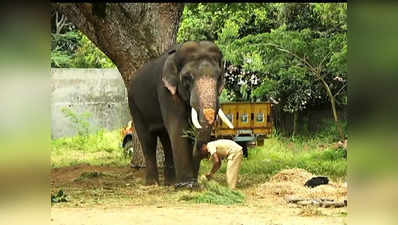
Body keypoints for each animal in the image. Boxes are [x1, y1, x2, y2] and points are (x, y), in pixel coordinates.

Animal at [127, 40, 233, 188]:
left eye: (218, 77)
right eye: (187, 78)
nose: (205, 176)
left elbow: (189, 129)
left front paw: (191, 183)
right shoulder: (166, 90)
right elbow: (178, 127)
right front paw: (187, 185)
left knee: (166, 139)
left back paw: (170, 183)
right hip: (134, 105)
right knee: (148, 140)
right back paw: (152, 184)